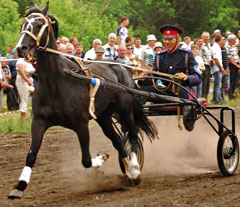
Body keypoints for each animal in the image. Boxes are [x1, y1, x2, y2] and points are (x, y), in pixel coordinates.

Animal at [7, 2, 158, 199]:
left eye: (39, 24)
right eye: (23, 24)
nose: (21, 48)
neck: (55, 82)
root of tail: (124, 69)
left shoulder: (81, 124)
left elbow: (86, 160)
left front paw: (102, 158)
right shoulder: (39, 121)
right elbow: (31, 155)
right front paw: (20, 185)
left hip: (125, 110)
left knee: (132, 134)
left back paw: (134, 168)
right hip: (104, 117)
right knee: (118, 141)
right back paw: (128, 170)